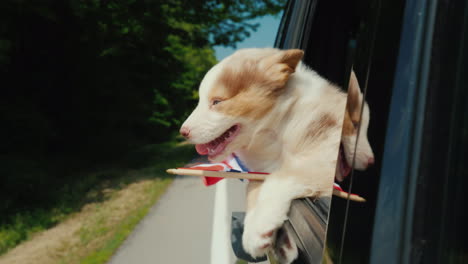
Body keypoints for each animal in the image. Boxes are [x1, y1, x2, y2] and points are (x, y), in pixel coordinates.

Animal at [181, 48, 374, 262]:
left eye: (217, 101)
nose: (183, 132)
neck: (277, 130)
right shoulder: (259, 170)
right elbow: (253, 188)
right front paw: (262, 235)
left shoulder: (324, 158)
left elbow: (281, 177)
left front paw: (259, 227)